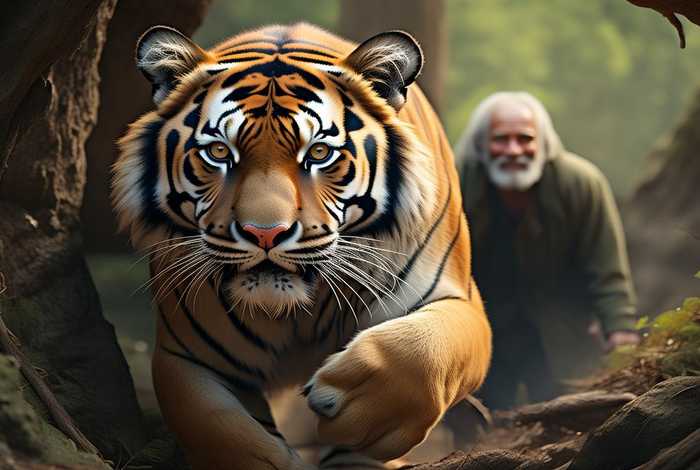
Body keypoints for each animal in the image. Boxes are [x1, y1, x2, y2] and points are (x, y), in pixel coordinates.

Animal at [112, 22, 492, 470]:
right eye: (219, 151)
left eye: (320, 153)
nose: (264, 233)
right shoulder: (186, 357)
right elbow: (216, 428)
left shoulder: (459, 303)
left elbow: (423, 351)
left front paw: (351, 405)